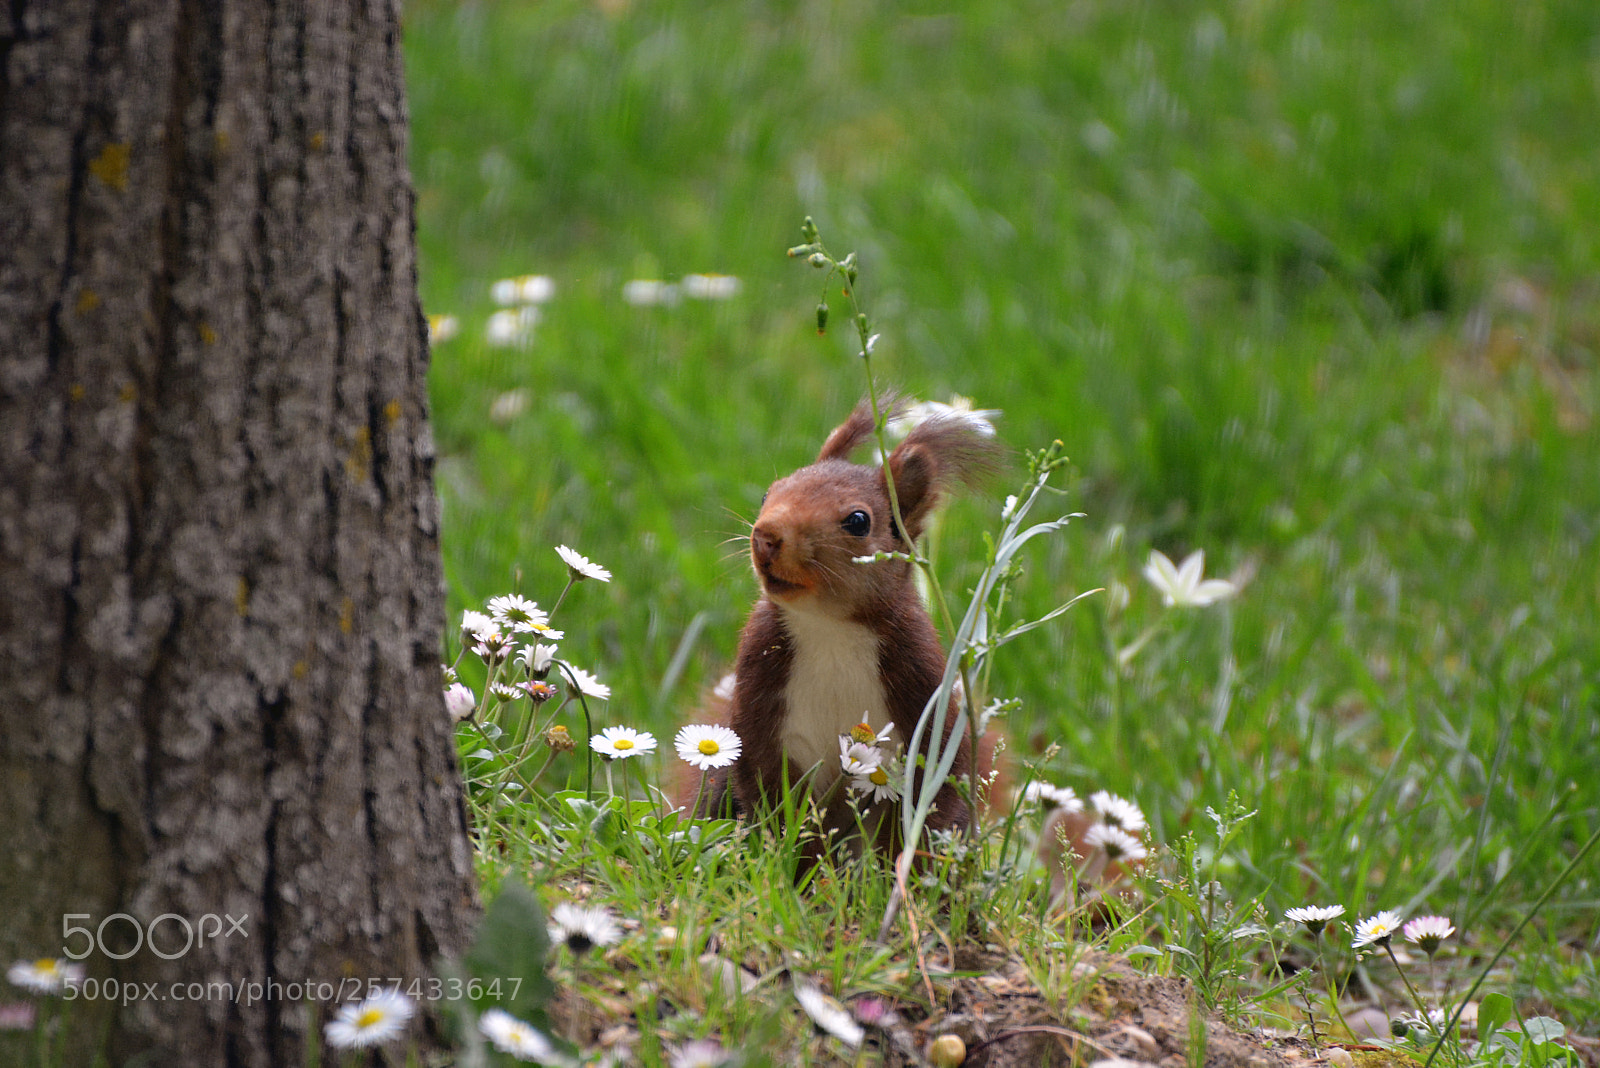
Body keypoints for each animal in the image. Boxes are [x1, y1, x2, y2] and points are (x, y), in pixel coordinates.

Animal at [690, 396, 1003, 865]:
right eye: (768, 492)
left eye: (858, 521)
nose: (765, 536)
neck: (829, 630)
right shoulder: (760, 707)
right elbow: (773, 805)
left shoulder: (923, 692)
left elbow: (931, 805)